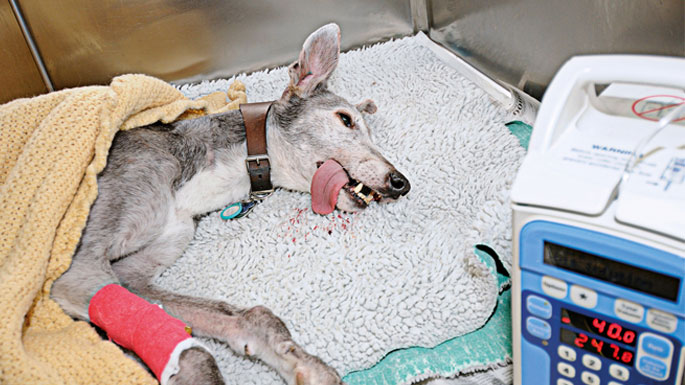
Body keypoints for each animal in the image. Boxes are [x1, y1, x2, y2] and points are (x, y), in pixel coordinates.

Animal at [52, 24, 412, 384]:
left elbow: (245, 317)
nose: (401, 183)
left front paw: (305, 365)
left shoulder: (133, 273)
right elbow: (191, 350)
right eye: (345, 119)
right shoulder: (76, 269)